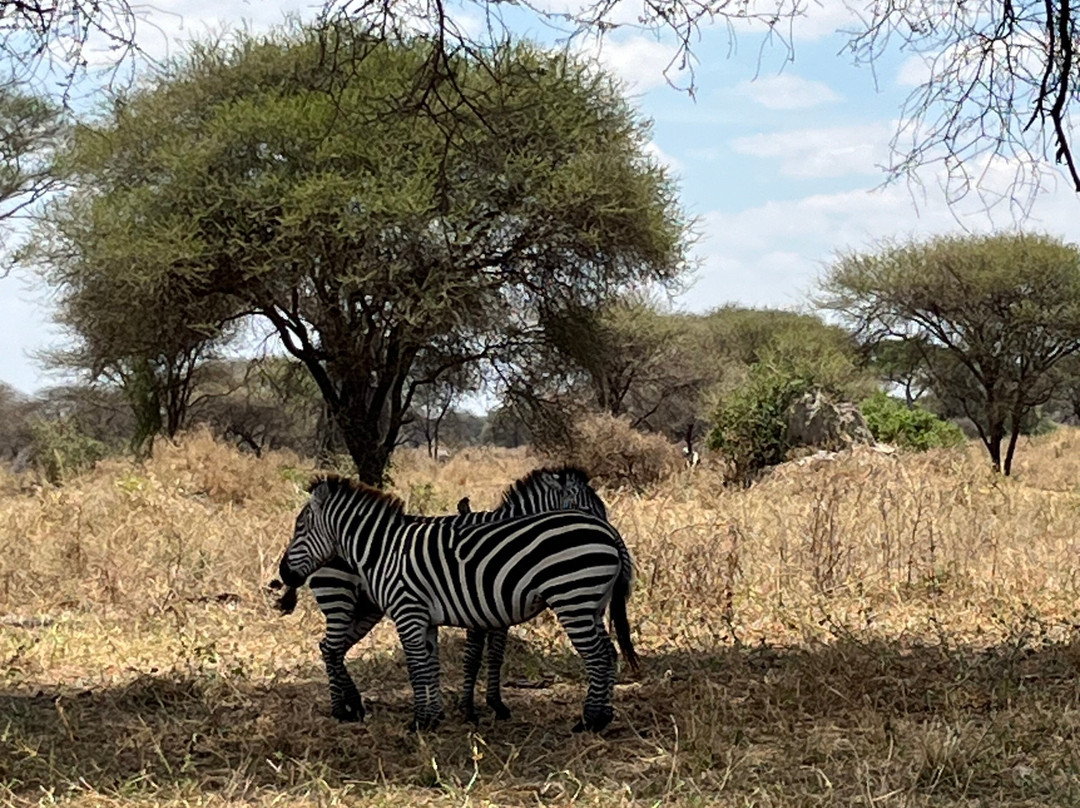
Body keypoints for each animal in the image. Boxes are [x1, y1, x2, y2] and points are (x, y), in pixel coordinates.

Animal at [274, 477, 639, 734]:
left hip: (574, 599)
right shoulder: (432, 617)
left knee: (600, 655)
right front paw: (436, 716)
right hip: (590, 603)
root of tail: (606, 533)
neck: (384, 550)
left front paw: (423, 721)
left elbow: (422, 667)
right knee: (331, 648)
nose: (283, 572)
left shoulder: (411, 613)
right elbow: (432, 666)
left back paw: (590, 721)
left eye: (299, 527)